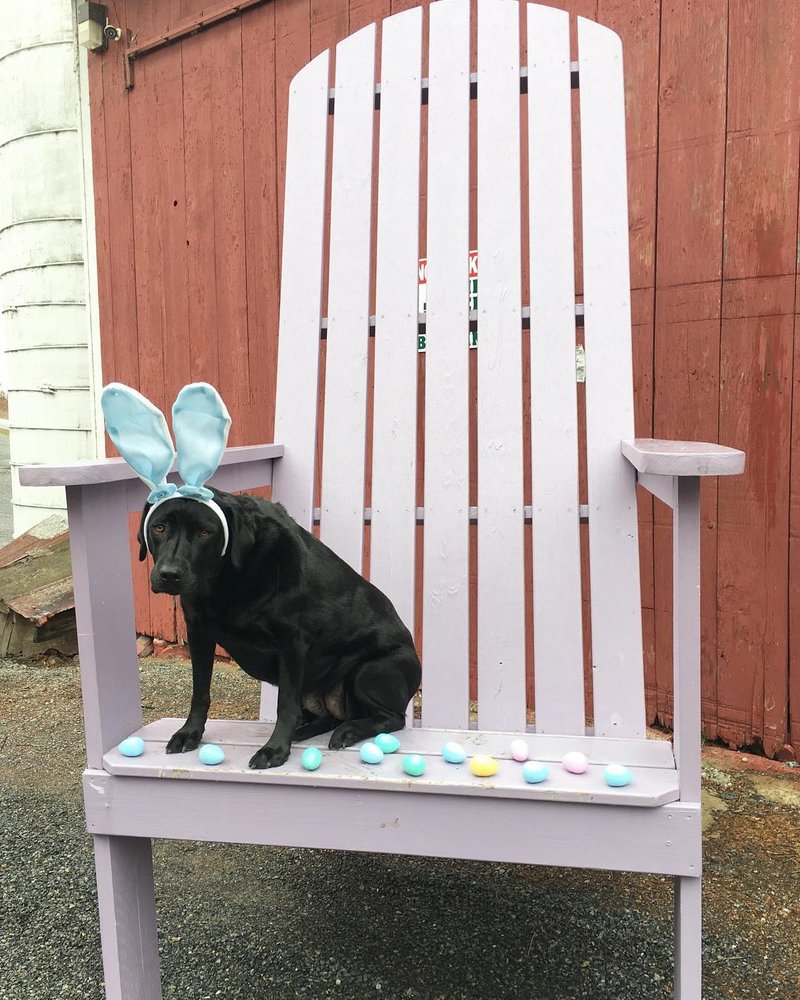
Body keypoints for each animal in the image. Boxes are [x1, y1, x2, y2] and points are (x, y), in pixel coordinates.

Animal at [138, 489, 421, 769]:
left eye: (205, 532)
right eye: (159, 527)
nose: (169, 574)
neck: (227, 580)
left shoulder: (292, 644)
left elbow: (285, 706)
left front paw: (274, 749)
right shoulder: (198, 633)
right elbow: (199, 692)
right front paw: (189, 733)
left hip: (374, 668)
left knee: (393, 717)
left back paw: (348, 731)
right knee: (328, 718)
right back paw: (306, 730)